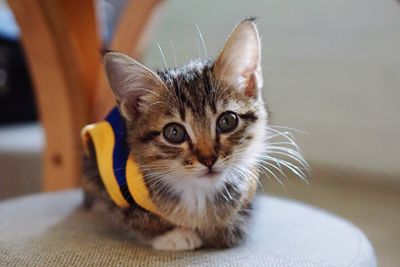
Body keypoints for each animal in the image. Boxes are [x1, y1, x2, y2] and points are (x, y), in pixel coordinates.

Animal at [82, 18, 268, 251]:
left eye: (227, 121)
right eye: (174, 132)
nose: (209, 159)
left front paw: (220, 227)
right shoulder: (109, 178)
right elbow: (131, 216)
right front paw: (173, 235)